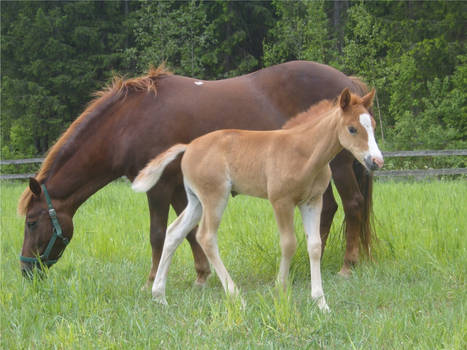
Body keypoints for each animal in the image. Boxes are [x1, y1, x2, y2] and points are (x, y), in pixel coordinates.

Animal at [132, 88, 384, 312]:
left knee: (174, 232)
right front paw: (280, 291)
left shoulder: (312, 201)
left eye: (372, 126)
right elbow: (289, 243)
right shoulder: (281, 201)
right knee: (206, 237)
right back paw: (237, 298)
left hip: (196, 201)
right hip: (215, 196)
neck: (303, 150)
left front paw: (321, 303)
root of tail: (189, 146)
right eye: (352, 129)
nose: (376, 161)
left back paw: (159, 296)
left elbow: (314, 246)